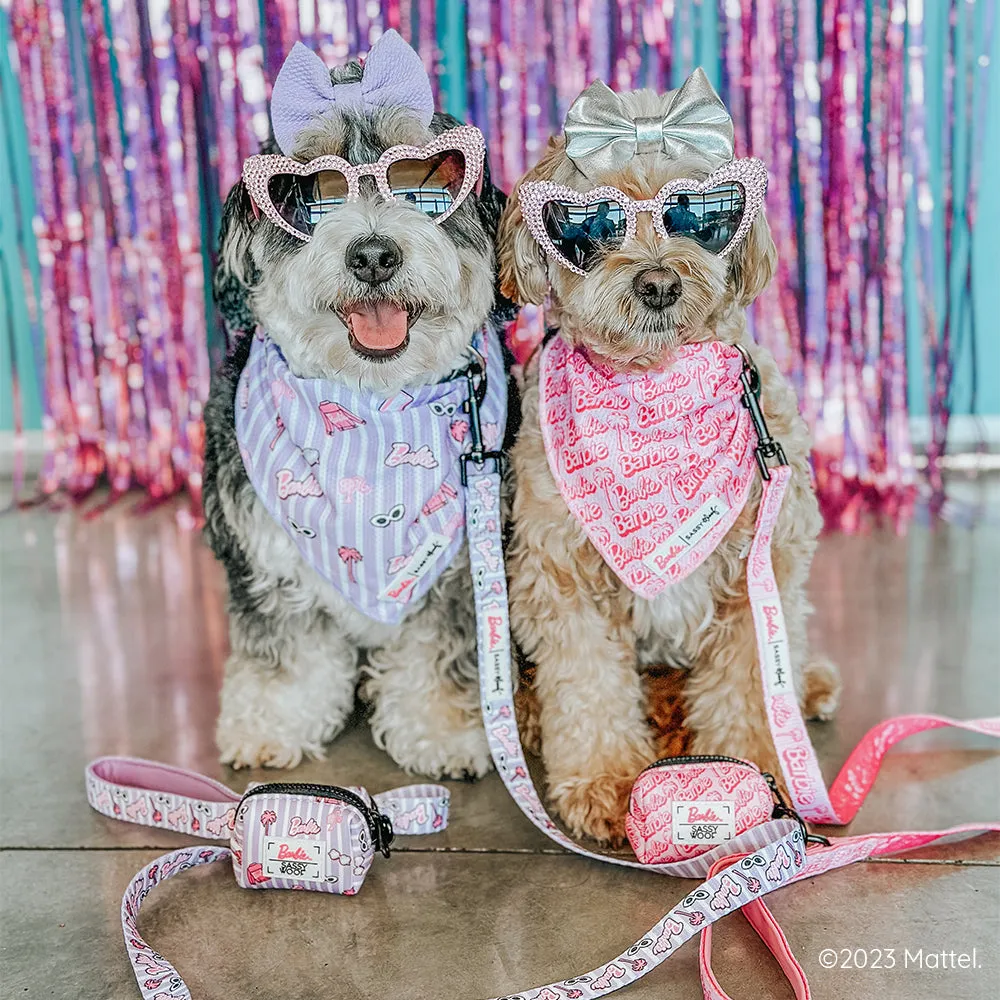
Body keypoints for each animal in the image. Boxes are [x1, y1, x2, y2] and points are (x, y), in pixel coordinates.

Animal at [202, 31, 516, 776]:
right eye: (313, 192)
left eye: (423, 182)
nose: (373, 254)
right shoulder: (262, 551)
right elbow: (282, 649)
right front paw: (272, 722)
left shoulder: (462, 566)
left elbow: (443, 650)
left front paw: (444, 729)